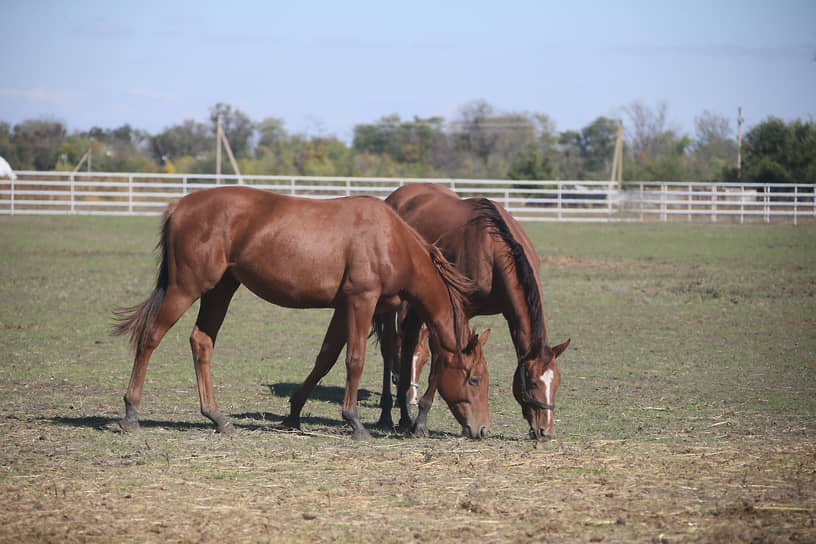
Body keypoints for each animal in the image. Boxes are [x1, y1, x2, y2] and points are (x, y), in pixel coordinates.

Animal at [111, 185, 488, 440]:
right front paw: (354, 421)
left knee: (201, 342)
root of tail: (180, 205)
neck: (390, 239)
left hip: (220, 290)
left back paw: (216, 417)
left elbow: (325, 358)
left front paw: (293, 413)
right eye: (474, 379)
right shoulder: (361, 302)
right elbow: (354, 360)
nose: (481, 429)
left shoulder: (344, 308)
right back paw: (131, 413)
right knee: (150, 337)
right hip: (185, 289)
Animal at [380, 185, 572, 440]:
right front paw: (420, 422)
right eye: (532, 383)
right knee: (391, 350)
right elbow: (439, 364)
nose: (546, 430)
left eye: (557, 383)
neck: (492, 252)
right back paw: (388, 414)